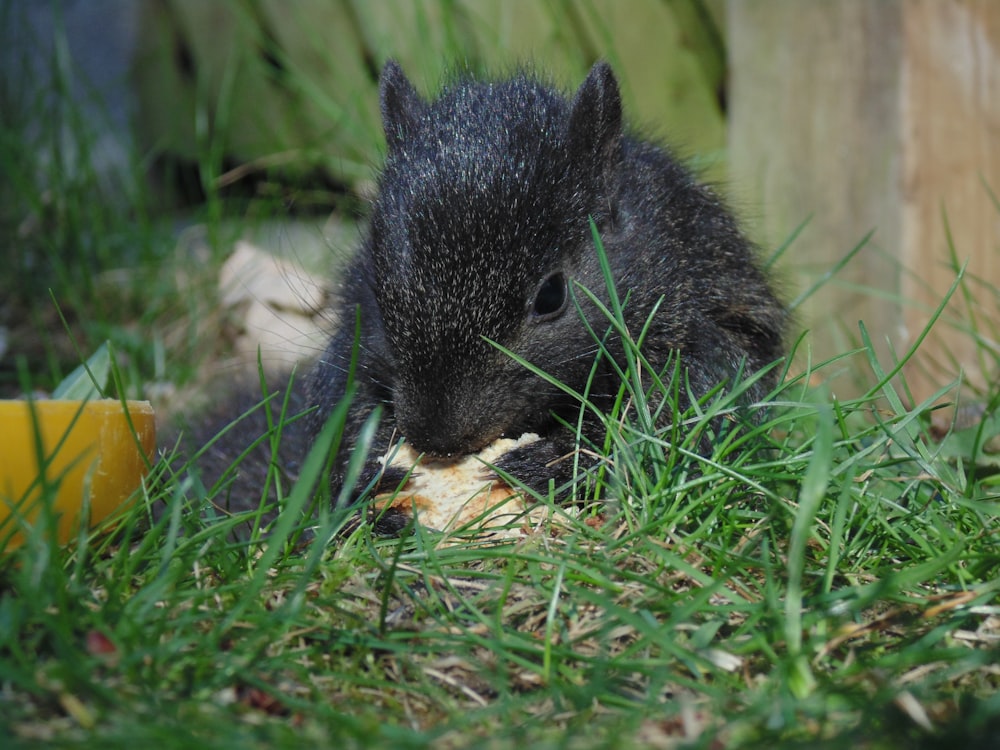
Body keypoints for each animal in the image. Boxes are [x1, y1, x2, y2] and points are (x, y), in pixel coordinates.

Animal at [180, 60, 788, 516]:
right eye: (377, 282)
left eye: (551, 297)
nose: (436, 439)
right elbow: (339, 398)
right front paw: (368, 466)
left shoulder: (707, 314)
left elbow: (679, 408)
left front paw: (555, 461)